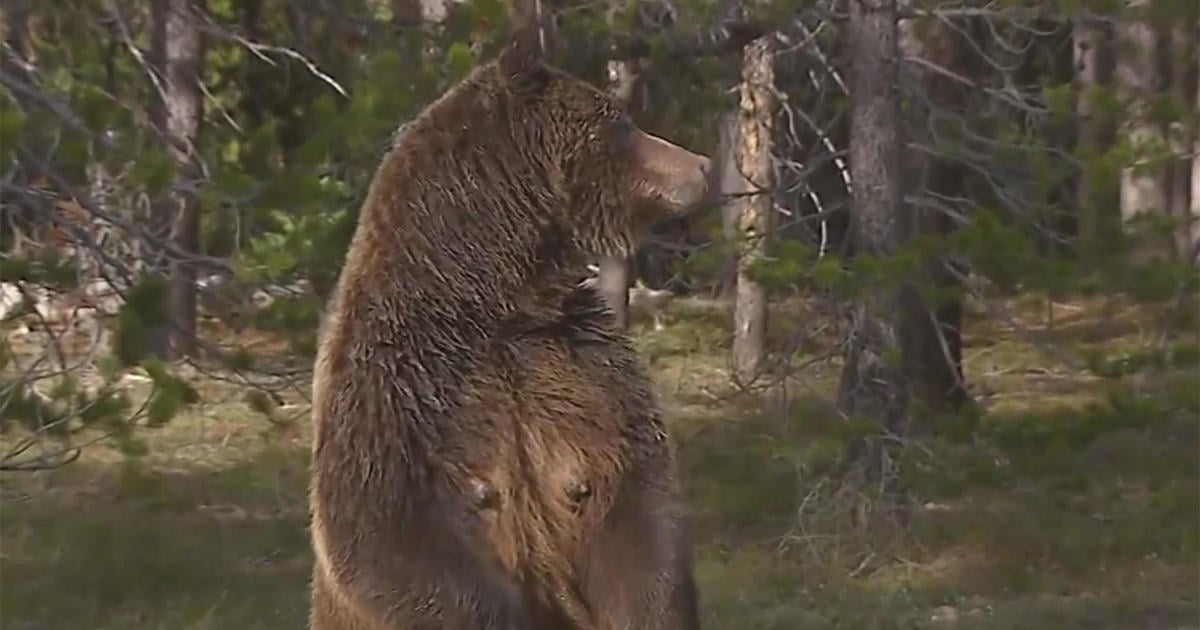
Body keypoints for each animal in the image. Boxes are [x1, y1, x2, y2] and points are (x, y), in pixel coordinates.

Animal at [309, 24, 715, 628]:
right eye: (619, 122)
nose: (703, 165)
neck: (498, 293)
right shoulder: (392, 385)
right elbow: (388, 535)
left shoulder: (584, 362)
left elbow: (639, 510)